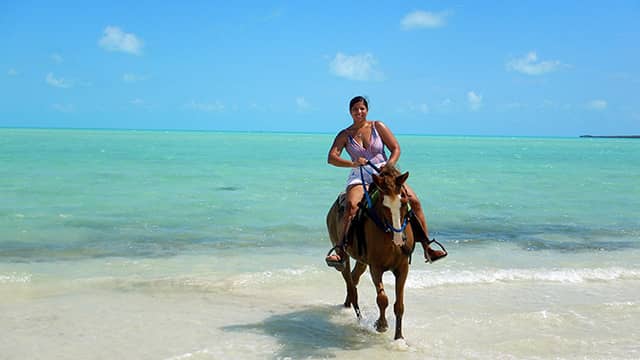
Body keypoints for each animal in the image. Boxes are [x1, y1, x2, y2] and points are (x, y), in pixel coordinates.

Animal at [324, 165, 416, 338]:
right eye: (384, 205)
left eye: (404, 202)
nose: (399, 239)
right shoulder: (376, 267)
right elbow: (382, 299)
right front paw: (381, 325)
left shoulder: (402, 267)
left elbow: (399, 305)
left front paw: (399, 337)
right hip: (344, 255)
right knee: (350, 284)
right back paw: (358, 318)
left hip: (361, 260)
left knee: (354, 279)